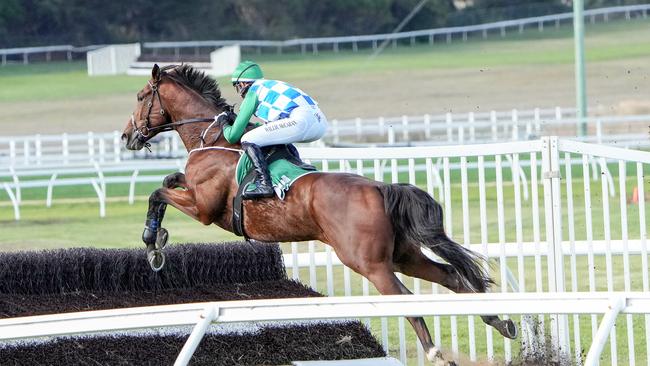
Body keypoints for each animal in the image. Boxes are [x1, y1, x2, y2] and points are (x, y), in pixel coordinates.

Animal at [120, 64, 516, 364]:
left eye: (140, 97)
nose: (126, 137)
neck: (213, 140)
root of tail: (380, 188)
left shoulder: (203, 209)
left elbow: (158, 193)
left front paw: (153, 243)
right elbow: (169, 181)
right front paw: (157, 239)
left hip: (368, 262)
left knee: (407, 298)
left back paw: (436, 351)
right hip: (402, 255)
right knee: (451, 275)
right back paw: (499, 321)